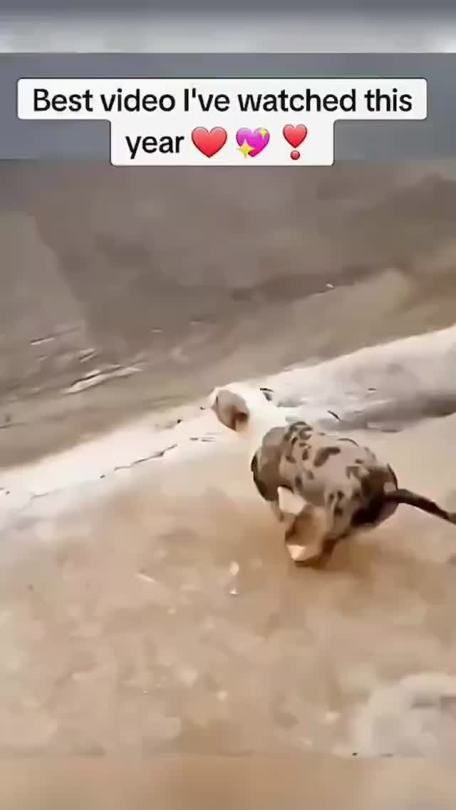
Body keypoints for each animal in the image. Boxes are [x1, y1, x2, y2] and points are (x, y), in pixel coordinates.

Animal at [209, 382, 456, 564]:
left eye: (219, 398)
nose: (211, 393)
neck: (262, 417)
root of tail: (385, 489)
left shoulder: (265, 485)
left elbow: (277, 509)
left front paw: (284, 520)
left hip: (337, 515)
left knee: (323, 549)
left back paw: (300, 554)